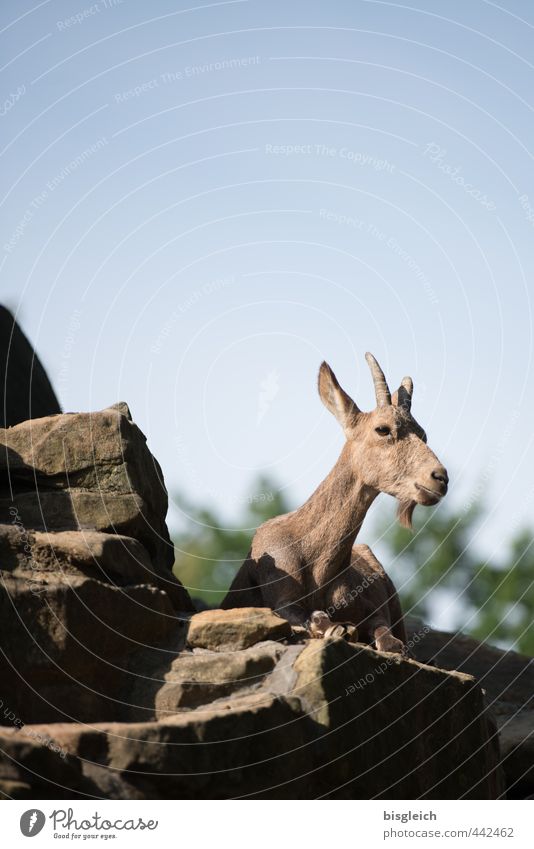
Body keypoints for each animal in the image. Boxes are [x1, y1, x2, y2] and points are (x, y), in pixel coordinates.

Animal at [220, 354, 450, 652]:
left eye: (423, 434)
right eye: (382, 429)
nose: (440, 478)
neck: (318, 566)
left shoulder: (373, 609)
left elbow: (384, 632)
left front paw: (384, 642)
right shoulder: (279, 595)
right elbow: (312, 617)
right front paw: (339, 629)